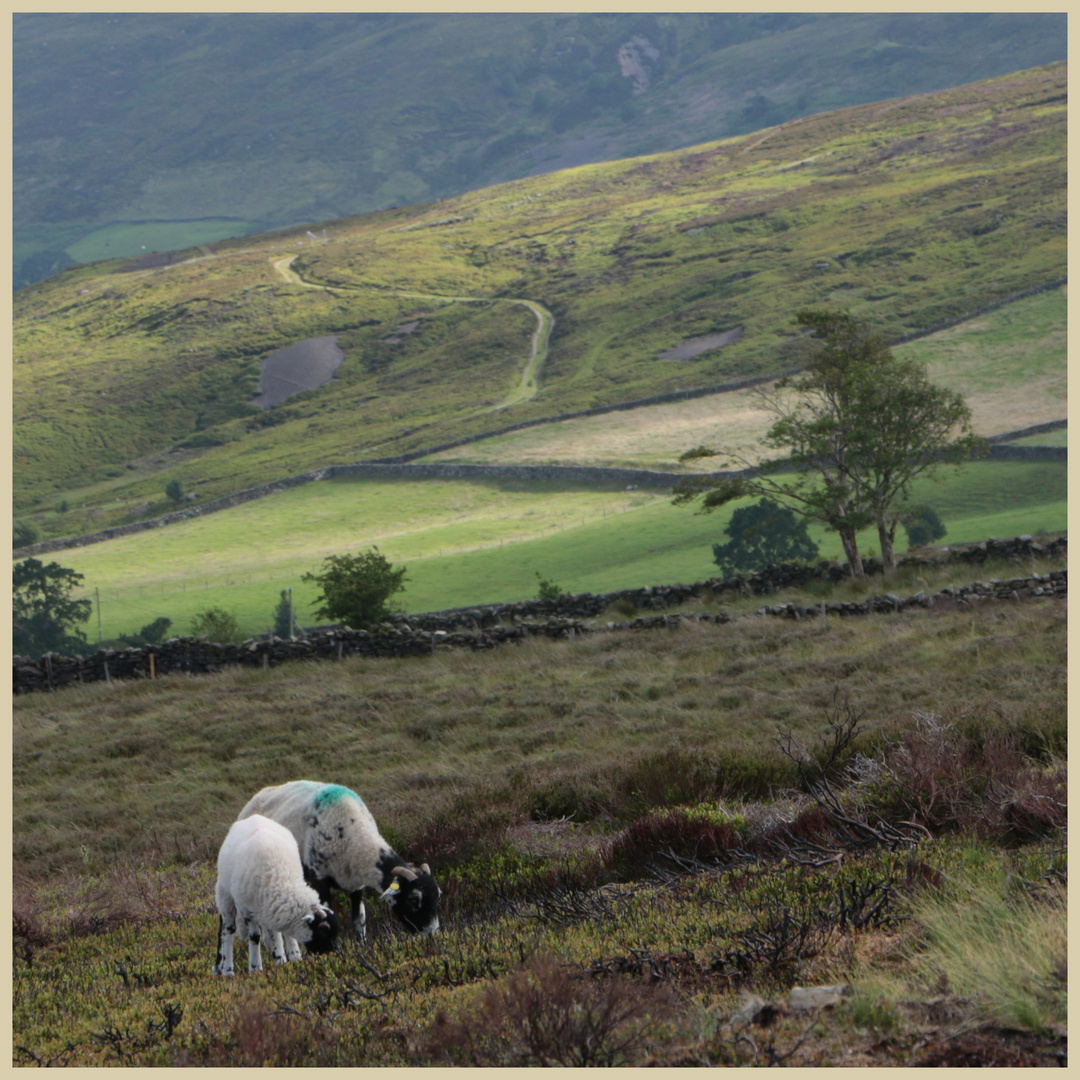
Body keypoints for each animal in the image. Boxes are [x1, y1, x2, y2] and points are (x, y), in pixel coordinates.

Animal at [210, 812, 336, 976]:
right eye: (323, 933)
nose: (331, 956)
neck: (279, 874)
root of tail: (254, 816)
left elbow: (279, 931)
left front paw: (288, 958)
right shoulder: (245, 908)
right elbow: (254, 936)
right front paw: (255, 968)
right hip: (225, 893)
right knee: (227, 930)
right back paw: (226, 969)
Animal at [238, 781, 440, 941]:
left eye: (438, 895)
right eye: (413, 899)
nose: (432, 936)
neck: (354, 837)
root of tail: (256, 796)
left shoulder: (357, 886)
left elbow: (359, 923)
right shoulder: (319, 880)